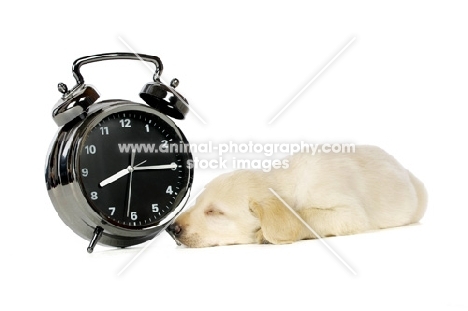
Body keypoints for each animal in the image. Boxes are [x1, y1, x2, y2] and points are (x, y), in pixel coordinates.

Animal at [169, 146, 428, 249]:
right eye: (197, 203)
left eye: (214, 211)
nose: (171, 229)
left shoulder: (349, 213)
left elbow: (306, 215)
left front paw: (264, 234)